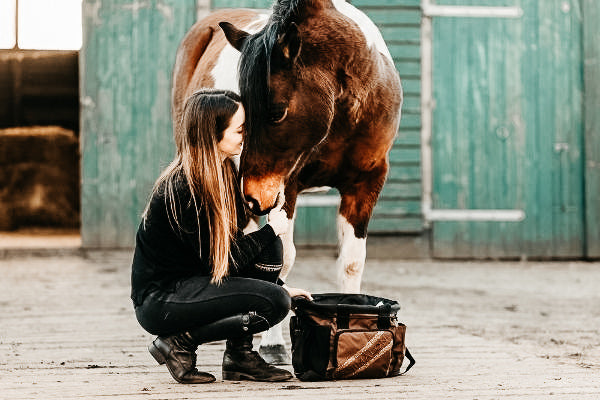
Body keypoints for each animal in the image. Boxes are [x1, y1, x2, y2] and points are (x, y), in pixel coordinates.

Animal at [171, 0, 400, 362]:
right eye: (244, 110)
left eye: (277, 111)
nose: (252, 195)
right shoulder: (284, 188)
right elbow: (282, 259)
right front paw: (274, 343)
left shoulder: (365, 184)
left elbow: (351, 262)